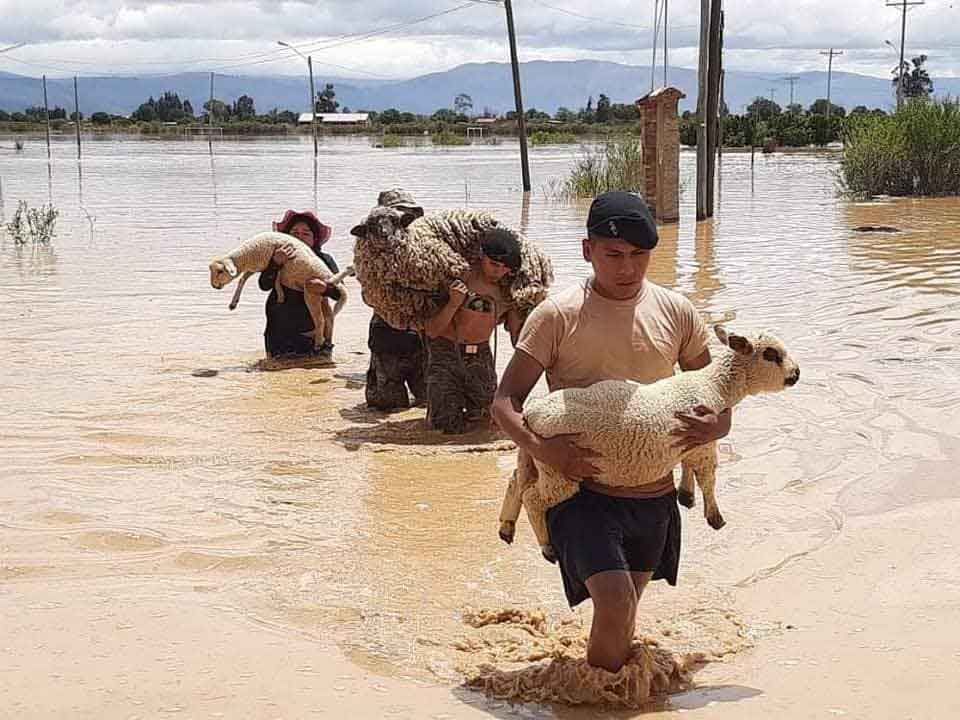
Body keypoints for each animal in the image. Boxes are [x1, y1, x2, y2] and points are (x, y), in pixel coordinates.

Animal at [206, 232, 352, 350]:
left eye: (220, 271)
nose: (214, 286)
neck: (248, 255)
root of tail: (330, 277)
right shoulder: (261, 266)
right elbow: (244, 278)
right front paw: (233, 303)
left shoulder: (274, 264)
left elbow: (275, 279)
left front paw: (280, 295)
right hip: (322, 296)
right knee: (329, 317)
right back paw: (328, 341)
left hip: (311, 293)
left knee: (320, 320)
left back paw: (318, 344)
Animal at [498, 328, 800, 564]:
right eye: (771, 354)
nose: (796, 374)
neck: (716, 387)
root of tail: (532, 412)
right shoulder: (704, 443)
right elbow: (708, 478)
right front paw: (715, 517)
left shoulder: (691, 440)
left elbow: (687, 465)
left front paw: (686, 495)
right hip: (559, 465)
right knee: (533, 498)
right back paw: (546, 547)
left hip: (533, 454)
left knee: (517, 481)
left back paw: (506, 527)